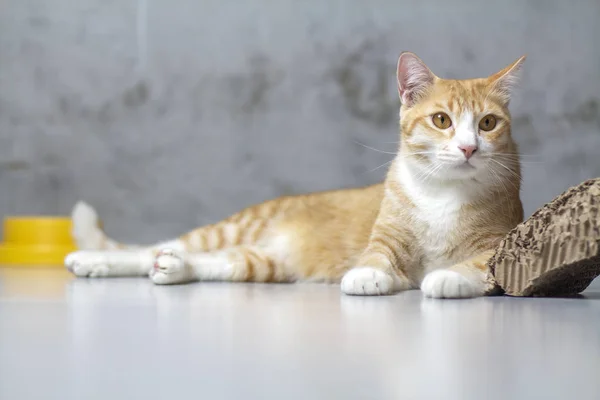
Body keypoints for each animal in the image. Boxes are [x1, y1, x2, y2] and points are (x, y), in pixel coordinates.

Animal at [67, 52, 524, 296]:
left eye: (487, 124)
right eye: (442, 120)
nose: (468, 148)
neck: (445, 194)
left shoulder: (501, 241)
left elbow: (480, 264)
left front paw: (447, 276)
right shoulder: (386, 238)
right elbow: (377, 256)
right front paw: (368, 275)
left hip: (265, 262)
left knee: (214, 261)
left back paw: (174, 268)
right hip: (237, 227)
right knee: (155, 247)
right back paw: (92, 260)